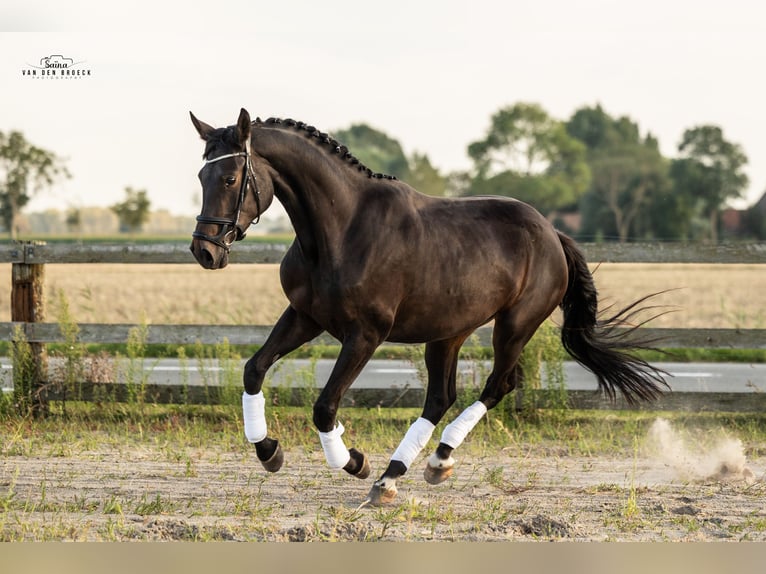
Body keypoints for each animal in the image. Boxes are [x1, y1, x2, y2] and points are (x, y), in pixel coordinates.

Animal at [189, 107, 668, 504]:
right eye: (201, 177)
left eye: (230, 178)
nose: (204, 252)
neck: (340, 229)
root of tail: (553, 234)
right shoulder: (305, 317)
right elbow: (254, 369)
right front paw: (269, 451)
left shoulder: (365, 335)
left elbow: (325, 406)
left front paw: (355, 462)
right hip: (448, 333)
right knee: (441, 397)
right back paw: (402, 474)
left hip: (513, 326)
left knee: (498, 385)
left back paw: (416, 467)